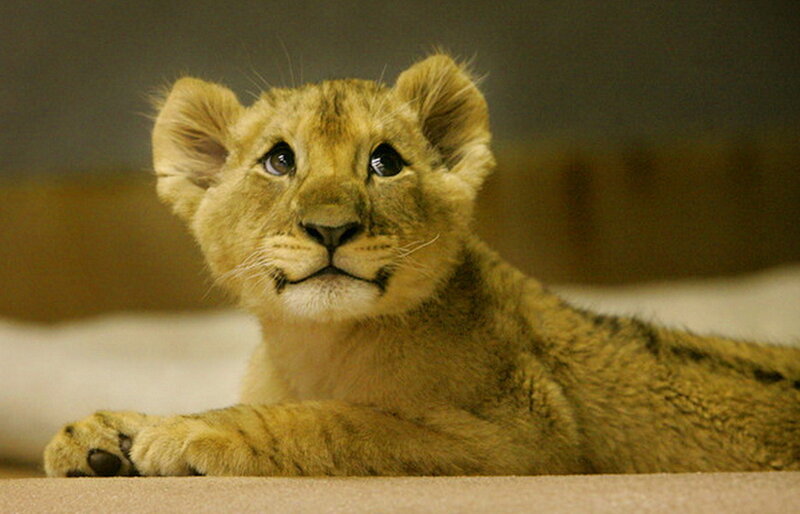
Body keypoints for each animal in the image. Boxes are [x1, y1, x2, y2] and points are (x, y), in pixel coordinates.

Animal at [44, 54, 800, 477]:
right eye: (279, 160)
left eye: (385, 162)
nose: (330, 228)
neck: (314, 344)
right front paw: (100, 438)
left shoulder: (524, 438)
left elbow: (337, 423)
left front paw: (182, 433)